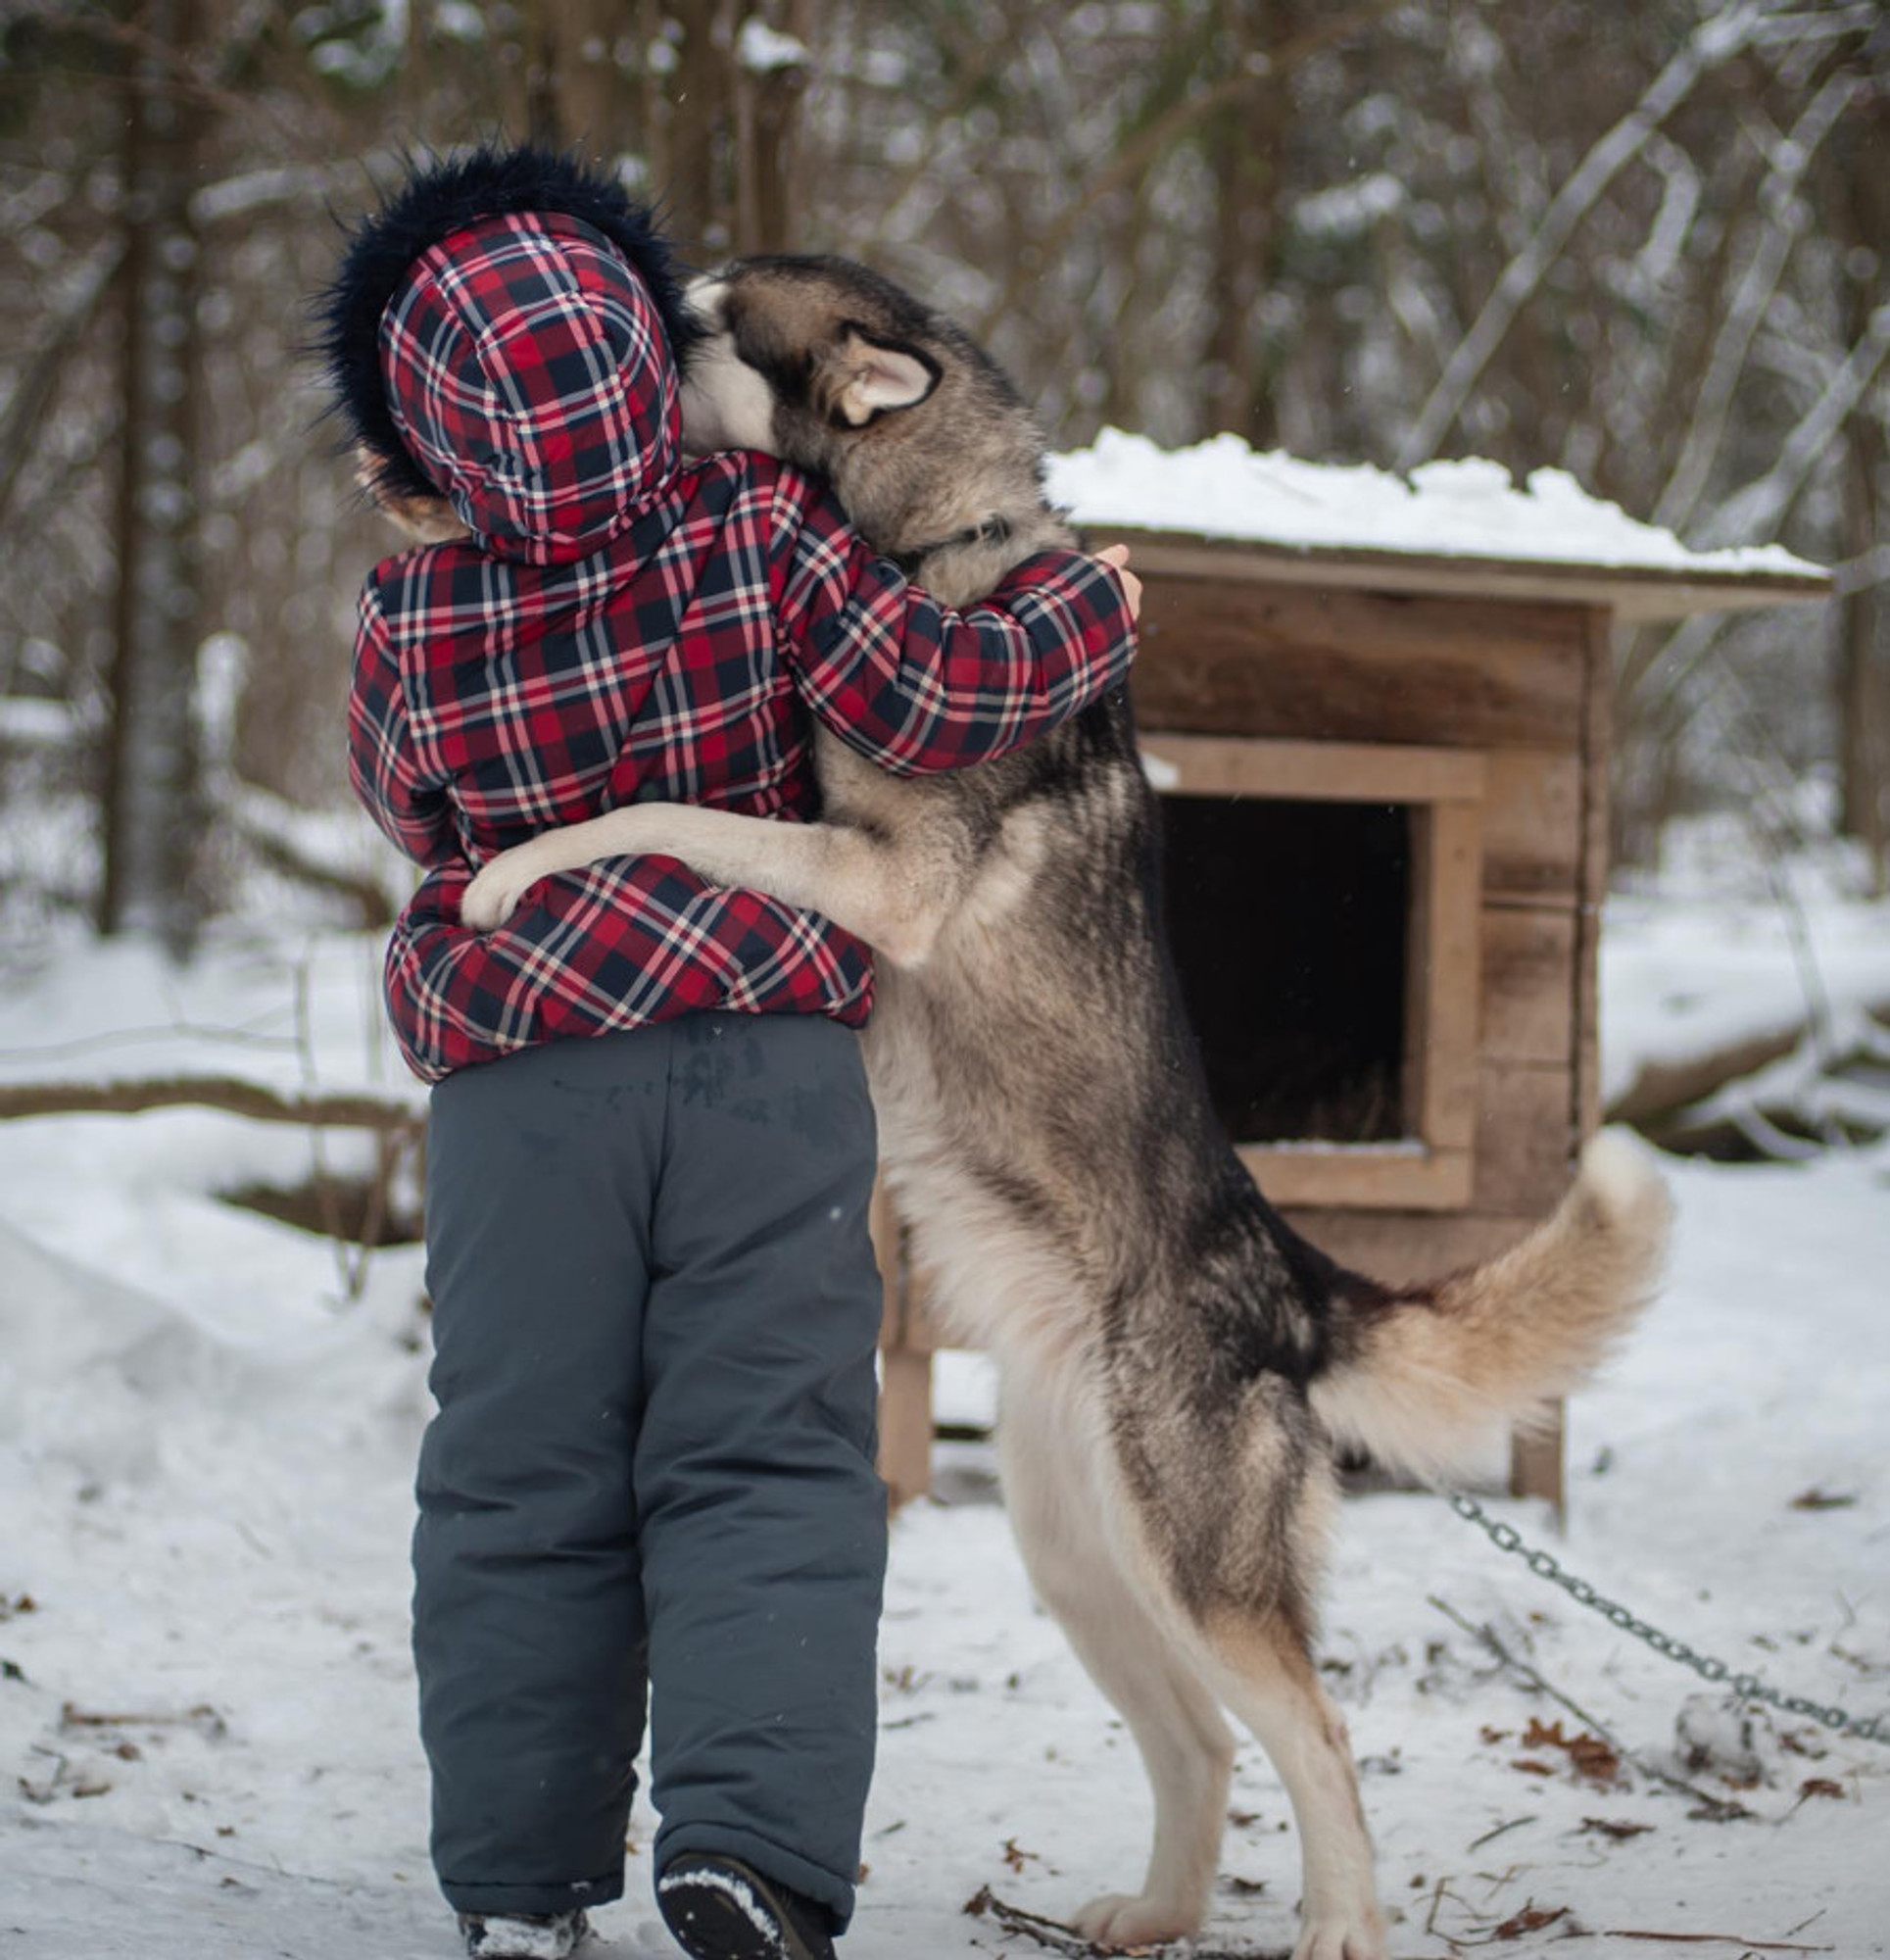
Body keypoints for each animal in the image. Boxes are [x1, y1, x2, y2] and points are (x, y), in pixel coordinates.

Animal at [394, 257, 1654, 1960]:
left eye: (709, 320)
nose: (648, 309)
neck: (934, 550)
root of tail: (1278, 1273)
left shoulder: (879, 878)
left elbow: (653, 809)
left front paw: (514, 874)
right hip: (1082, 1559)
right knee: (1200, 1745)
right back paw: (1151, 1913)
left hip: (1191, 1567)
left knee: (1317, 1737)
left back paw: (1337, 1926)